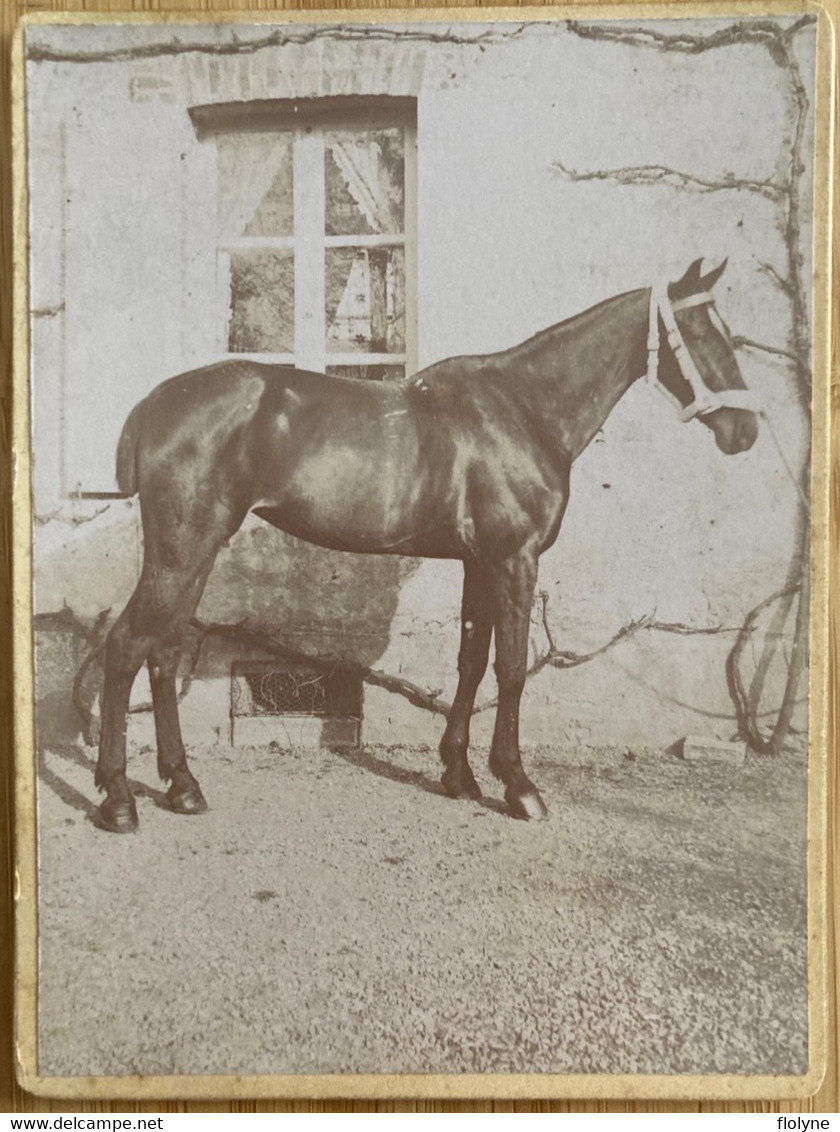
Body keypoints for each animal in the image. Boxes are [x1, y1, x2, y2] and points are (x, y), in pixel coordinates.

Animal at [93, 262, 765, 833]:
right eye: (700, 332)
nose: (746, 431)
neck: (523, 407)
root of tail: (154, 404)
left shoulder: (479, 563)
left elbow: (471, 661)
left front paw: (458, 773)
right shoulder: (515, 560)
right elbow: (512, 667)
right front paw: (519, 786)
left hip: (197, 552)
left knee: (162, 653)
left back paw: (182, 785)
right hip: (182, 550)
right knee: (126, 647)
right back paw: (119, 799)